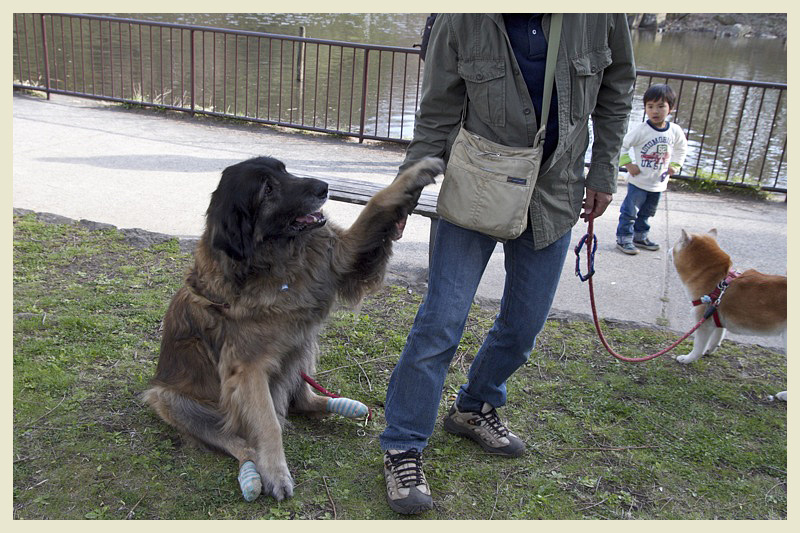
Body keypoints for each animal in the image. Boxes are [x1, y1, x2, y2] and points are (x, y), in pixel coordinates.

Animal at [145, 154, 444, 498]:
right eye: (267, 189)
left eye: (284, 170)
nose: (324, 187)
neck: (275, 261)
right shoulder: (247, 370)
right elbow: (267, 424)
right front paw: (276, 473)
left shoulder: (338, 256)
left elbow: (377, 202)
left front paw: (417, 174)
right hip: (171, 400)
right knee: (238, 441)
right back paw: (252, 473)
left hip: (302, 345)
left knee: (302, 398)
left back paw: (342, 405)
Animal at [668, 228, 788, 400]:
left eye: (674, 245)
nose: (668, 249)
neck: (716, 279)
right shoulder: (716, 316)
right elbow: (717, 337)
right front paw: (710, 350)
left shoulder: (704, 323)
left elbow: (698, 347)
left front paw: (688, 359)